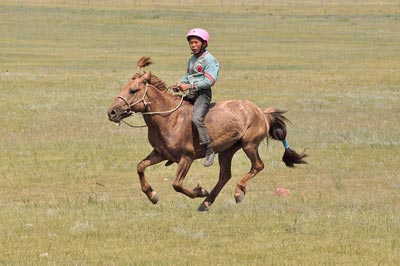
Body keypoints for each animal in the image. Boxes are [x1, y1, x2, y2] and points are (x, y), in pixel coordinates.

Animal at [106, 56, 306, 212]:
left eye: (133, 90)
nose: (112, 112)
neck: (169, 118)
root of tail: (261, 112)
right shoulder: (161, 154)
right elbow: (140, 167)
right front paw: (152, 194)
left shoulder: (186, 157)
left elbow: (176, 184)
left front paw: (199, 191)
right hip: (227, 151)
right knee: (225, 175)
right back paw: (206, 203)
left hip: (249, 145)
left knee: (257, 165)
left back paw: (237, 192)